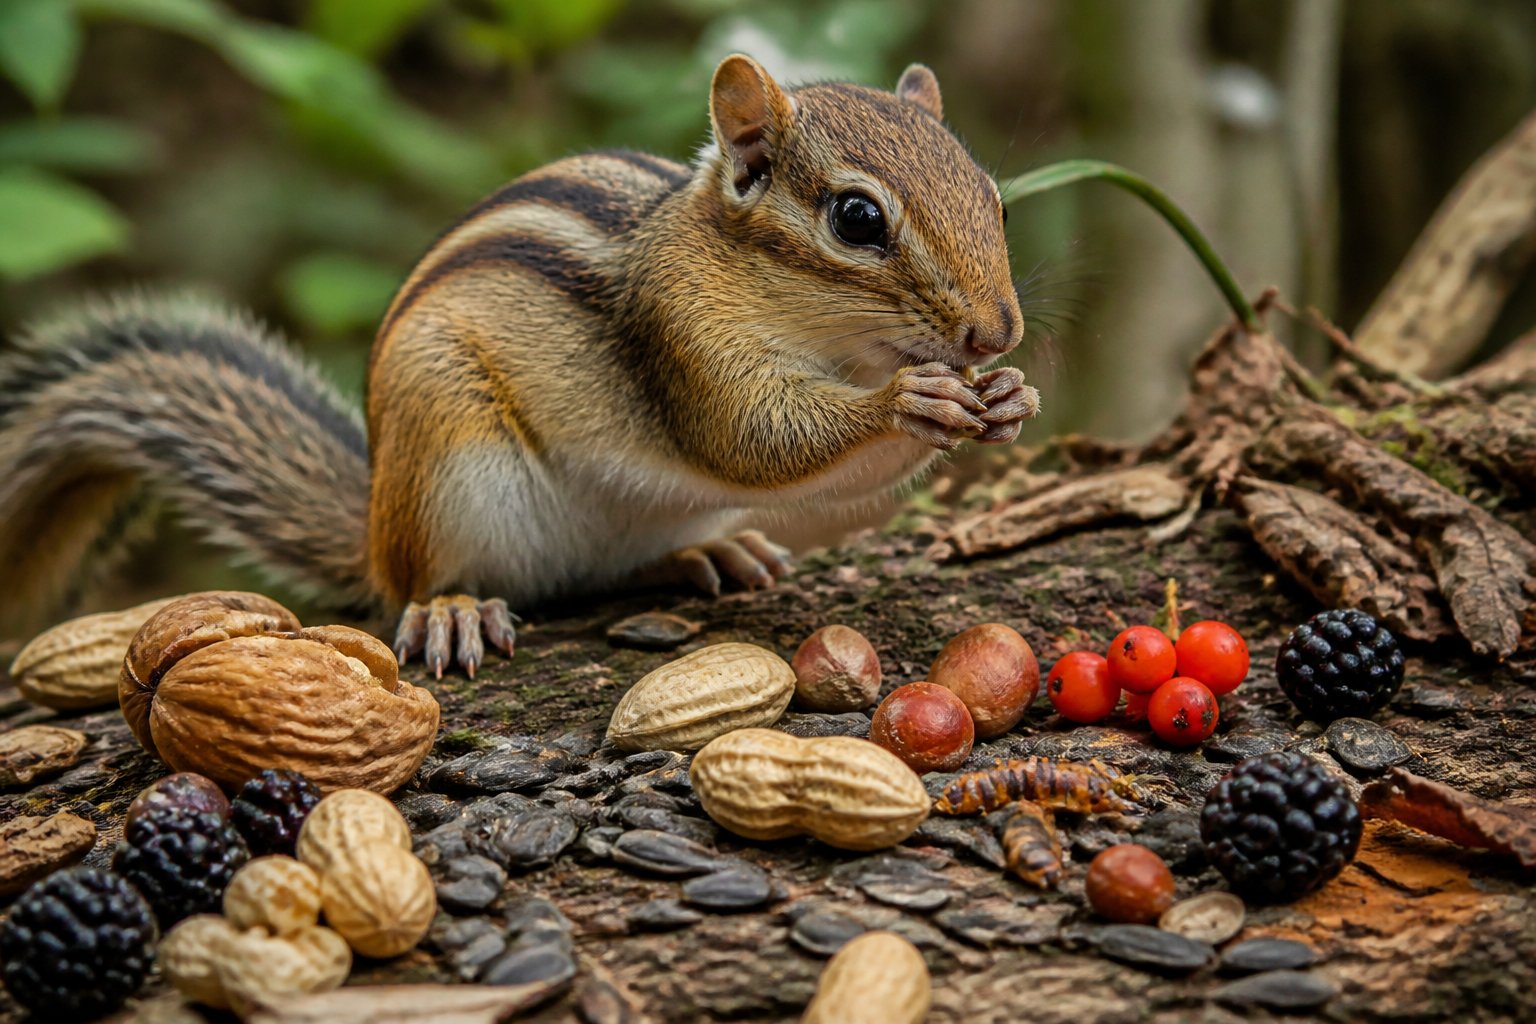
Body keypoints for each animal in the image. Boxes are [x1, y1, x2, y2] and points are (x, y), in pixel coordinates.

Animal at [0, 55, 1037, 677]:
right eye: (857, 220)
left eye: (995, 199)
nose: (997, 336)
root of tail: (372, 525)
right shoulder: (684, 341)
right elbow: (756, 439)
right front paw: (910, 401)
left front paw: (1010, 398)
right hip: (444, 460)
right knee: (419, 584)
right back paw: (451, 610)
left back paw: (707, 551)